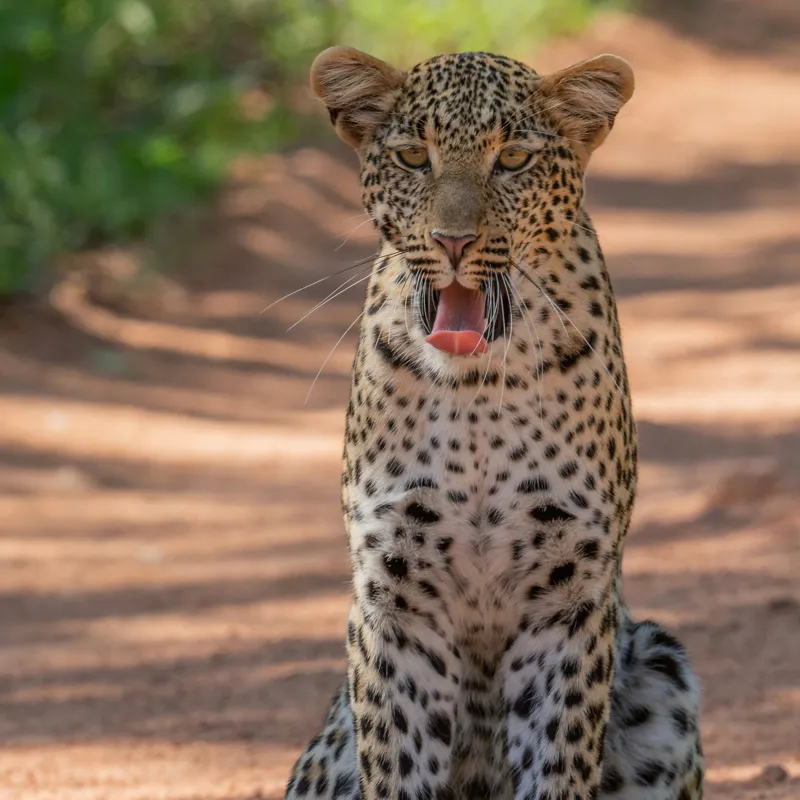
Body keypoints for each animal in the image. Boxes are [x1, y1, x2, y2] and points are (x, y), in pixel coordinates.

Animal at [284, 46, 704, 800]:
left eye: (511, 160)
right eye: (413, 157)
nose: (453, 242)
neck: (476, 386)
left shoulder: (568, 599)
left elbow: (559, 758)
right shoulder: (395, 596)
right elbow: (398, 761)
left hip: (663, 665)